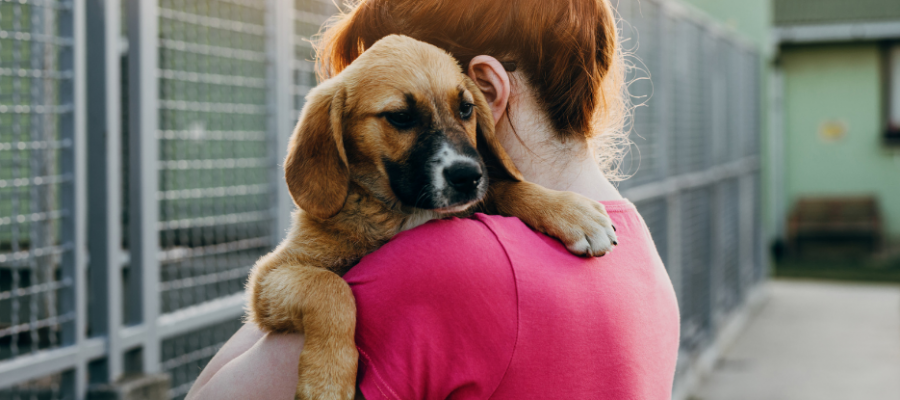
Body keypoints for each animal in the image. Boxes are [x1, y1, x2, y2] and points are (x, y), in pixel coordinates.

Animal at [246, 35, 620, 400]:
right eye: (400, 117)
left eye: (466, 108)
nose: (468, 176)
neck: (402, 212)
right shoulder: (273, 275)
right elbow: (329, 288)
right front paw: (327, 380)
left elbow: (508, 188)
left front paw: (573, 212)